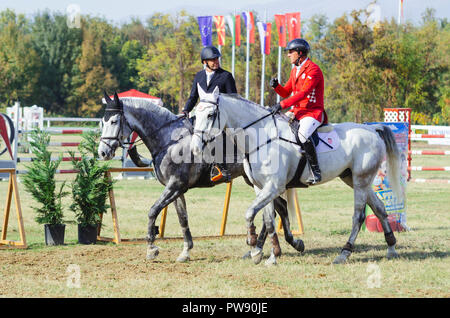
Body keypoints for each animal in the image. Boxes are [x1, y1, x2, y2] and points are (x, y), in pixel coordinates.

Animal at [96, 92, 304, 264]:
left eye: (113, 122)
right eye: (102, 123)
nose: (103, 153)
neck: (170, 140)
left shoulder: (175, 186)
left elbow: (153, 211)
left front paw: (151, 248)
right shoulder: (176, 190)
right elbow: (183, 219)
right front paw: (185, 252)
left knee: (276, 209)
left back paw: (268, 246)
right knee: (278, 209)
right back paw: (273, 246)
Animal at [192, 85, 402, 264]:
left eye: (210, 114)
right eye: (195, 114)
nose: (195, 148)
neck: (261, 138)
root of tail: (371, 129)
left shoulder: (273, 187)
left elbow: (250, 212)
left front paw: (253, 245)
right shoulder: (261, 188)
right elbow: (268, 221)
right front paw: (269, 255)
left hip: (360, 181)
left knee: (358, 216)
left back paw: (344, 253)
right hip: (353, 179)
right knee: (379, 208)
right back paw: (391, 248)